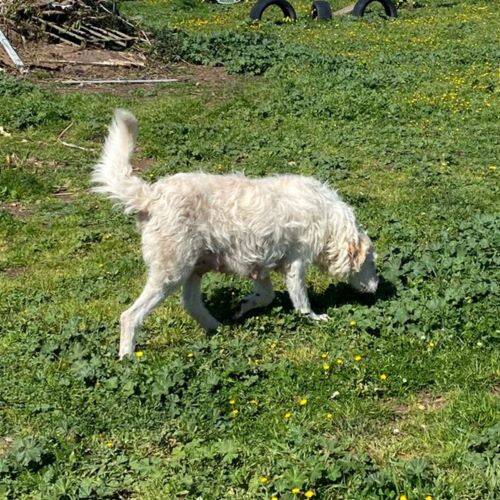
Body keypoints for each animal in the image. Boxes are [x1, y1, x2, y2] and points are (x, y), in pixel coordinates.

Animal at [92, 110, 379, 359]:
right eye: (371, 263)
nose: (376, 289)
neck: (328, 218)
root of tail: (151, 196)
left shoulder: (260, 267)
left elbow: (265, 296)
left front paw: (243, 306)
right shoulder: (295, 264)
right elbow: (301, 302)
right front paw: (315, 318)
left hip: (193, 269)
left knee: (191, 304)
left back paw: (218, 328)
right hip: (170, 273)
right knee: (130, 315)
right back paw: (127, 356)